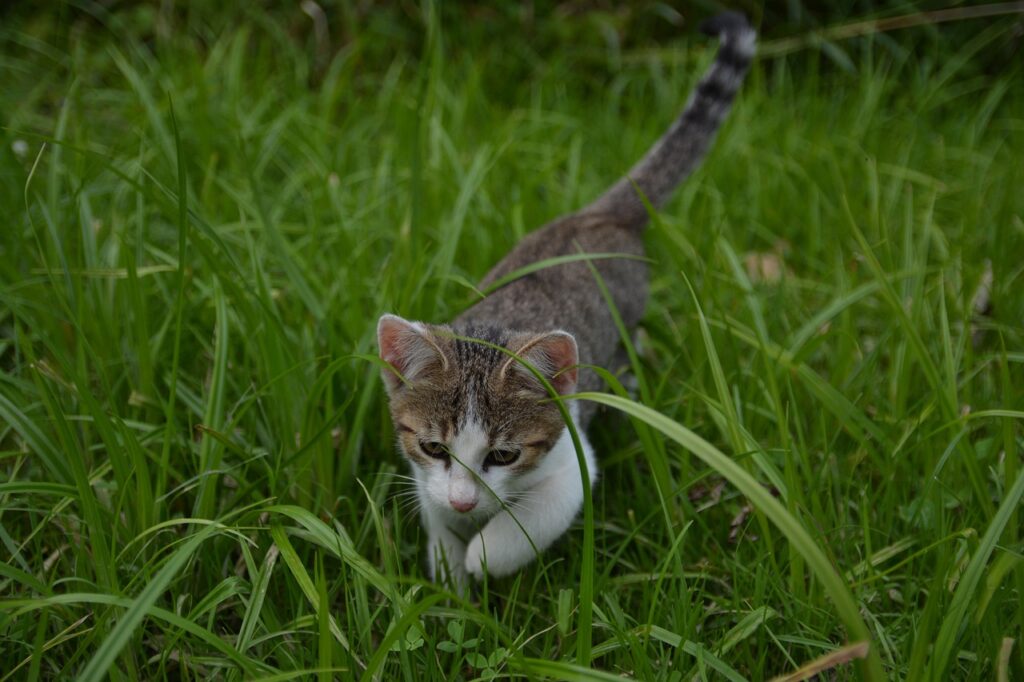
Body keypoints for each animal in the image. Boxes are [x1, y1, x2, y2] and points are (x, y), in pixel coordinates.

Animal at [376, 11, 753, 585]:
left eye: (504, 456)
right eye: (433, 447)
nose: (465, 502)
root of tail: (596, 216)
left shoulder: (572, 462)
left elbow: (538, 517)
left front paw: (482, 554)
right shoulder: (421, 471)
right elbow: (430, 502)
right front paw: (447, 562)